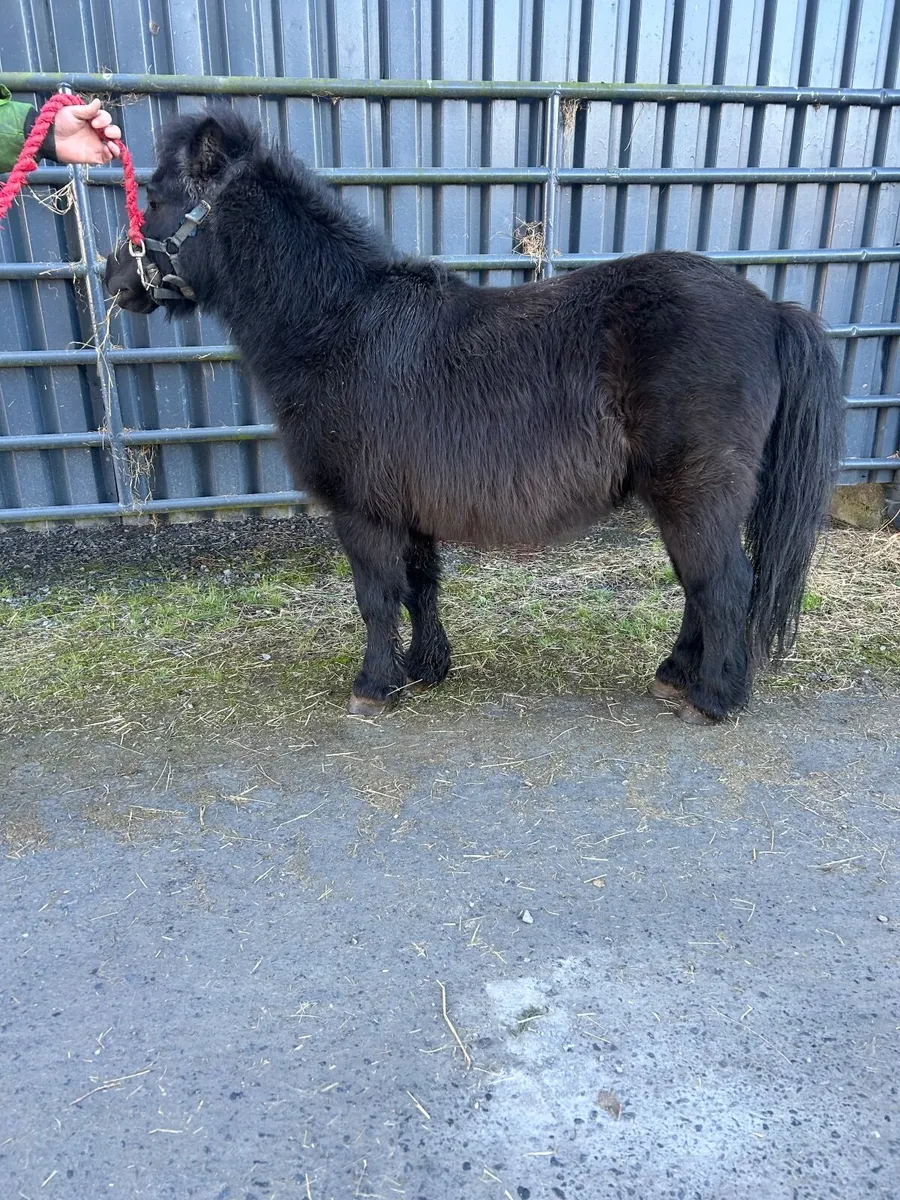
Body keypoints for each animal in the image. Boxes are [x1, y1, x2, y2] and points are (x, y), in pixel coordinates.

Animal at [104, 108, 843, 725]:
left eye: (156, 201)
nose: (114, 279)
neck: (337, 327)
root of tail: (772, 312)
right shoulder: (407, 508)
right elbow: (420, 586)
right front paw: (426, 669)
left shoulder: (363, 510)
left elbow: (377, 597)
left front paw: (374, 687)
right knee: (698, 587)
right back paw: (673, 676)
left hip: (696, 491)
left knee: (721, 586)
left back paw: (714, 699)